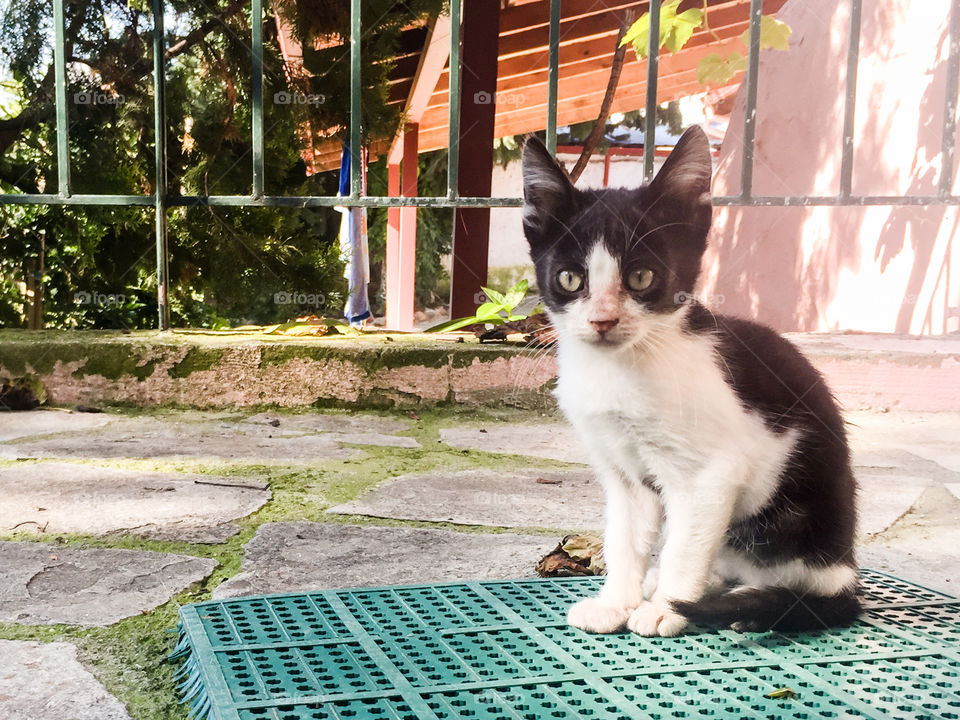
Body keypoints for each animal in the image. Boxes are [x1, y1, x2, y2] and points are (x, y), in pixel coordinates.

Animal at [520, 125, 860, 636]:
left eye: (641, 277)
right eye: (569, 278)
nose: (602, 320)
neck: (624, 366)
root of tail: (847, 573)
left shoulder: (711, 474)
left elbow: (685, 544)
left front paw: (667, 608)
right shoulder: (622, 471)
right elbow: (623, 538)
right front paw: (616, 601)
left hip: (791, 519)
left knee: (789, 577)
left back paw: (744, 602)